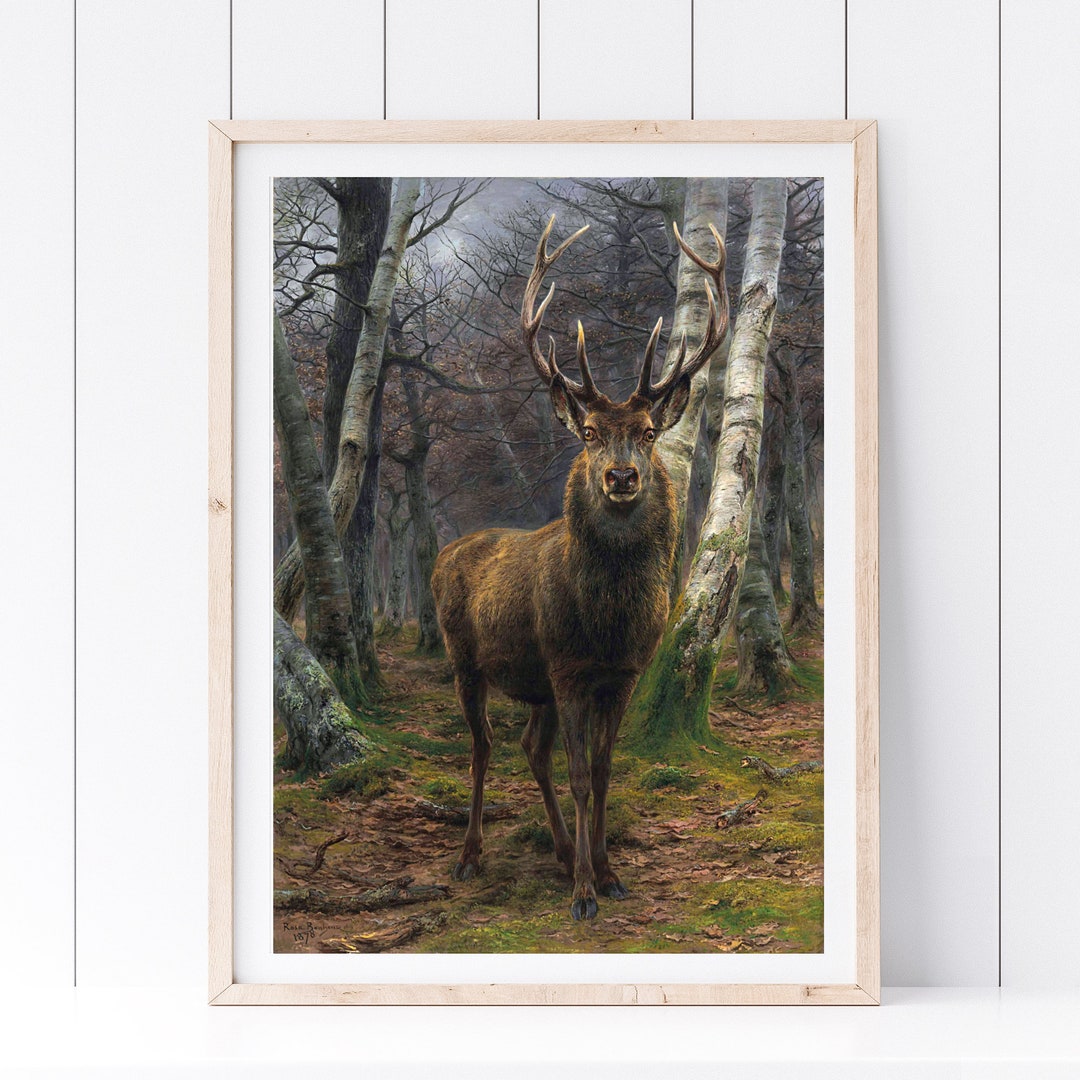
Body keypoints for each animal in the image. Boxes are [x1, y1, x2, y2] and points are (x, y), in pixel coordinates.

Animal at [430, 215, 728, 920]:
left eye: (647, 431)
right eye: (590, 432)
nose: (620, 476)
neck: (607, 624)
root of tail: (446, 552)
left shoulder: (619, 674)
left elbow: (602, 771)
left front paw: (609, 872)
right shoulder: (567, 667)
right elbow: (577, 774)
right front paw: (586, 894)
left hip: (533, 679)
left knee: (527, 749)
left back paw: (565, 854)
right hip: (465, 657)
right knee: (484, 747)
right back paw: (471, 856)